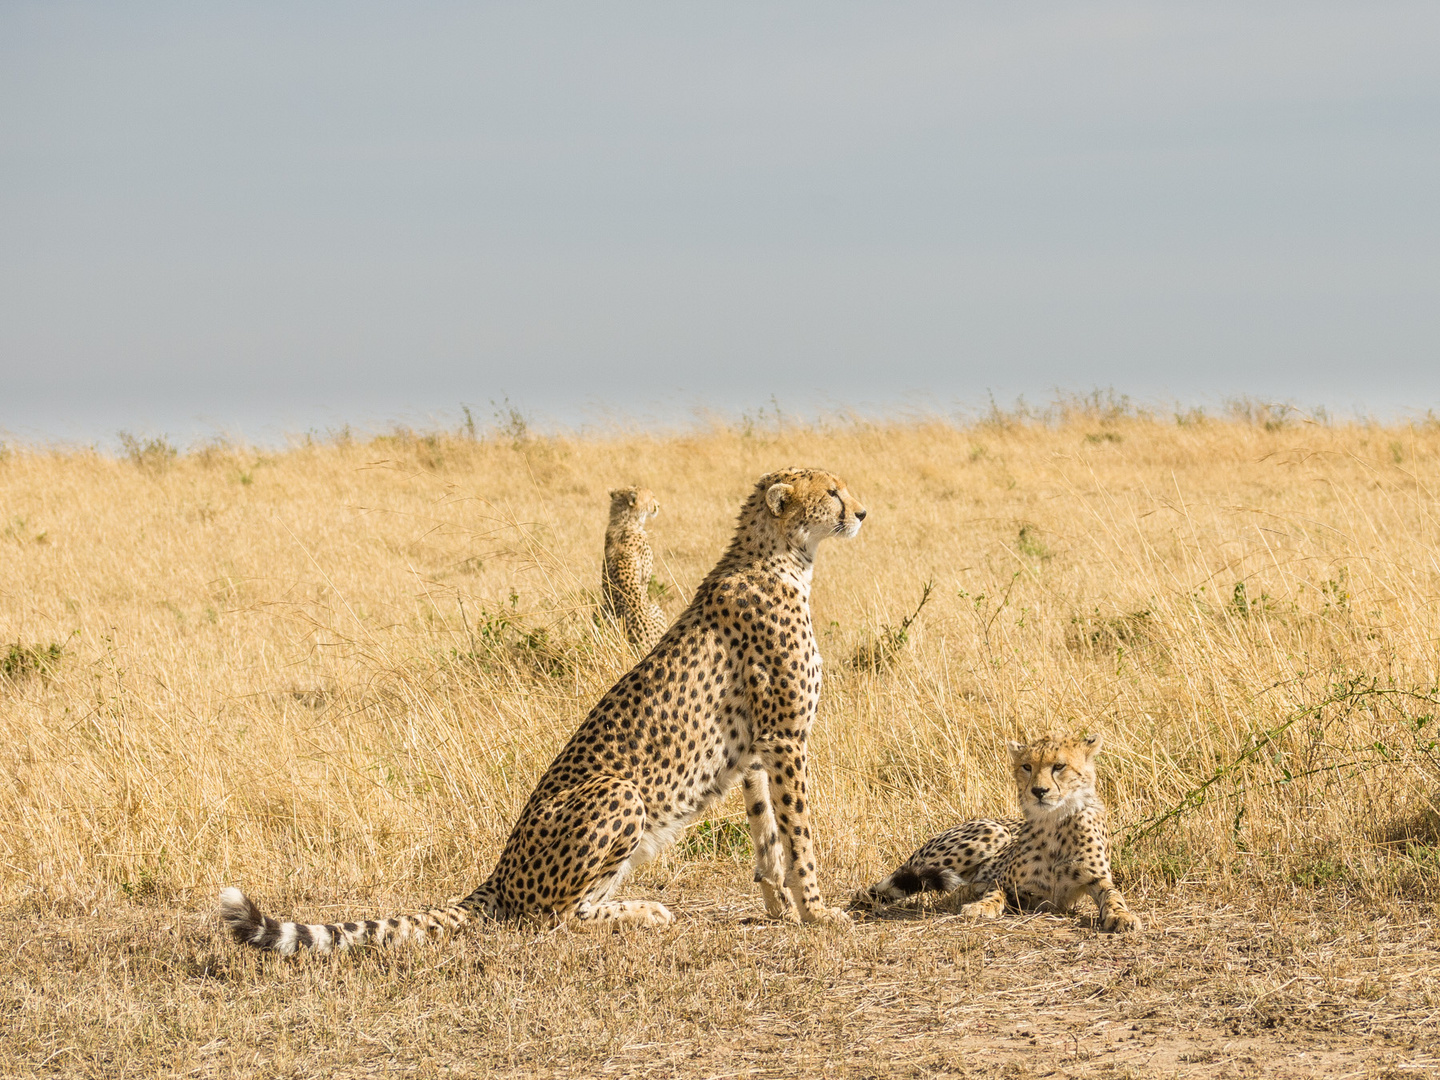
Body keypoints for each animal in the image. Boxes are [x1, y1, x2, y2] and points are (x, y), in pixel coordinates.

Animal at [599, 489, 665, 650]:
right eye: (652, 497)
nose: (658, 505)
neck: (625, 521)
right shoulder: (645, 580)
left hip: (604, 610)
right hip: (657, 610)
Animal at [852, 737, 1134, 938]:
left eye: (1059, 766)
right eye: (1027, 766)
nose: (1038, 791)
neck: (1055, 821)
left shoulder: (1097, 879)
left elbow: (1113, 895)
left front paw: (1123, 916)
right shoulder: (1004, 880)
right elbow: (994, 892)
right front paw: (980, 906)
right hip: (994, 831)